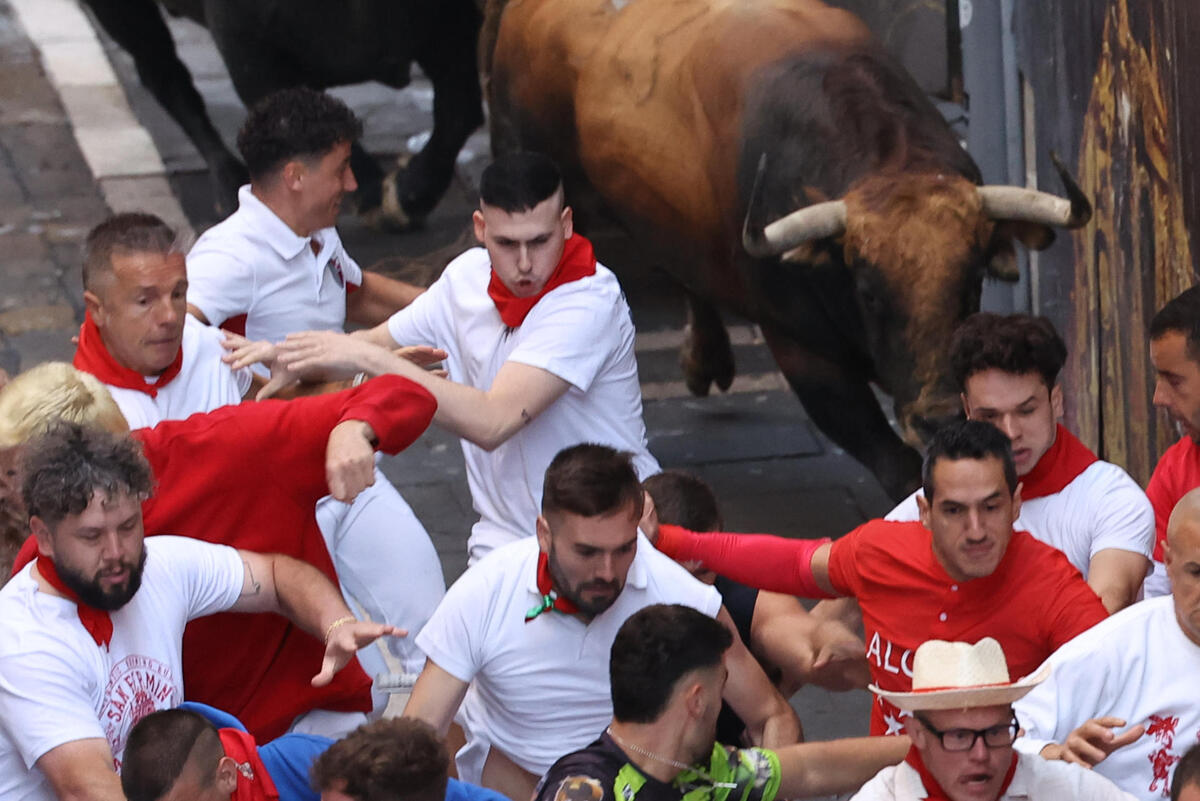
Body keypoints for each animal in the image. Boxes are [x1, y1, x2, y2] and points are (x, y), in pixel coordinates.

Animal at [484, 0, 1089, 501]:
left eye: (971, 282)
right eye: (868, 291)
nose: (938, 417)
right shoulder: (803, 351)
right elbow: (895, 464)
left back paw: (706, 357)